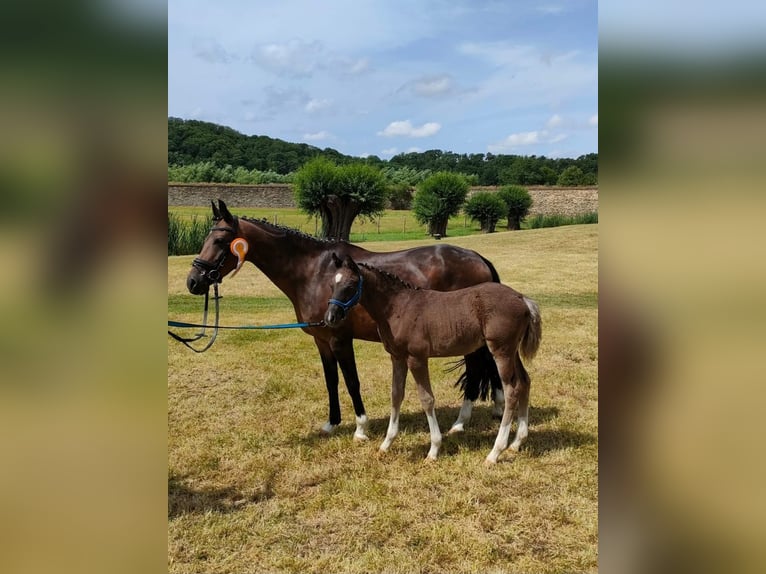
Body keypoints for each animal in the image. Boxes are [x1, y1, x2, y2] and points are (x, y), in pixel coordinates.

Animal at [187, 200, 508, 444]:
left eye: (219, 240)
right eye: (205, 238)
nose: (193, 281)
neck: (314, 272)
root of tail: (478, 258)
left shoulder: (340, 339)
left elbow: (352, 381)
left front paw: (361, 428)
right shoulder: (322, 340)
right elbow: (331, 380)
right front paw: (331, 424)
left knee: (477, 368)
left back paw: (461, 422)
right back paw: (494, 408)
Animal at [328, 254, 544, 466]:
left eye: (350, 285)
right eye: (332, 285)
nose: (330, 317)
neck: (398, 307)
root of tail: (522, 299)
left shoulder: (417, 358)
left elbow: (427, 399)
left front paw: (433, 450)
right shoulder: (397, 358)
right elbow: (396, 395)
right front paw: (385, 445)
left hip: (501, 351)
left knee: (511, 391)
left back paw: (494, 453)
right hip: (512, 352)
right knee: (525, 382)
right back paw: (517, 443)